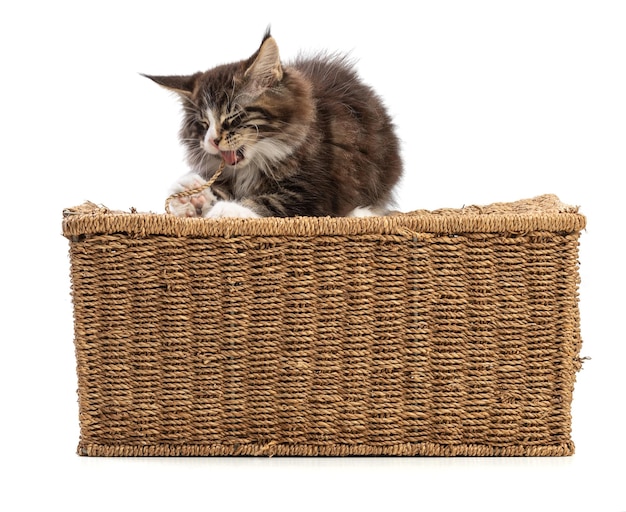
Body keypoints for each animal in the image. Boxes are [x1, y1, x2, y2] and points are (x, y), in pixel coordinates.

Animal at [144, 29, 402, 218]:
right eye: (203, 123)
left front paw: (226, 210)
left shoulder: (318, 190)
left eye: (233, 116)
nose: (213, 141)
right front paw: (191, 197)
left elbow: (272, 203)